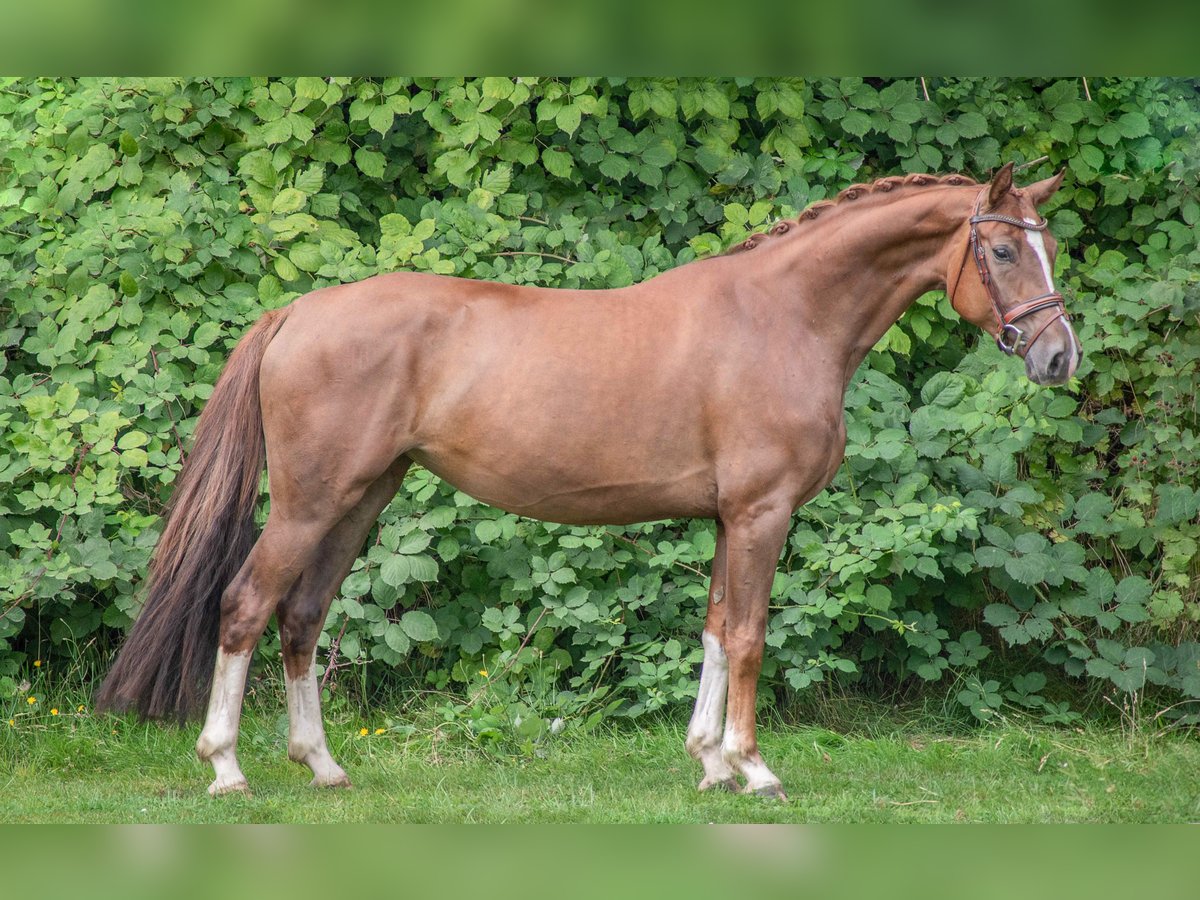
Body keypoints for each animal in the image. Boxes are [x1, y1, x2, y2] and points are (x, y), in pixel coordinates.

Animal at [98, 162, 1084, 796]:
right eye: (1003, 252)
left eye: (1051, 250)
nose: (1059, 356)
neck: (784, 316)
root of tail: (300, 310)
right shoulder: (761, 513)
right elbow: (752, 636)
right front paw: (755, 769)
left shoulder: (726, 518)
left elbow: (715, 629)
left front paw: (709, 762)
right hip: (309, 503)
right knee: (244, 606)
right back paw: (227, 769)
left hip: (360, 500)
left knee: (302, 617)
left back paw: (324, 767)